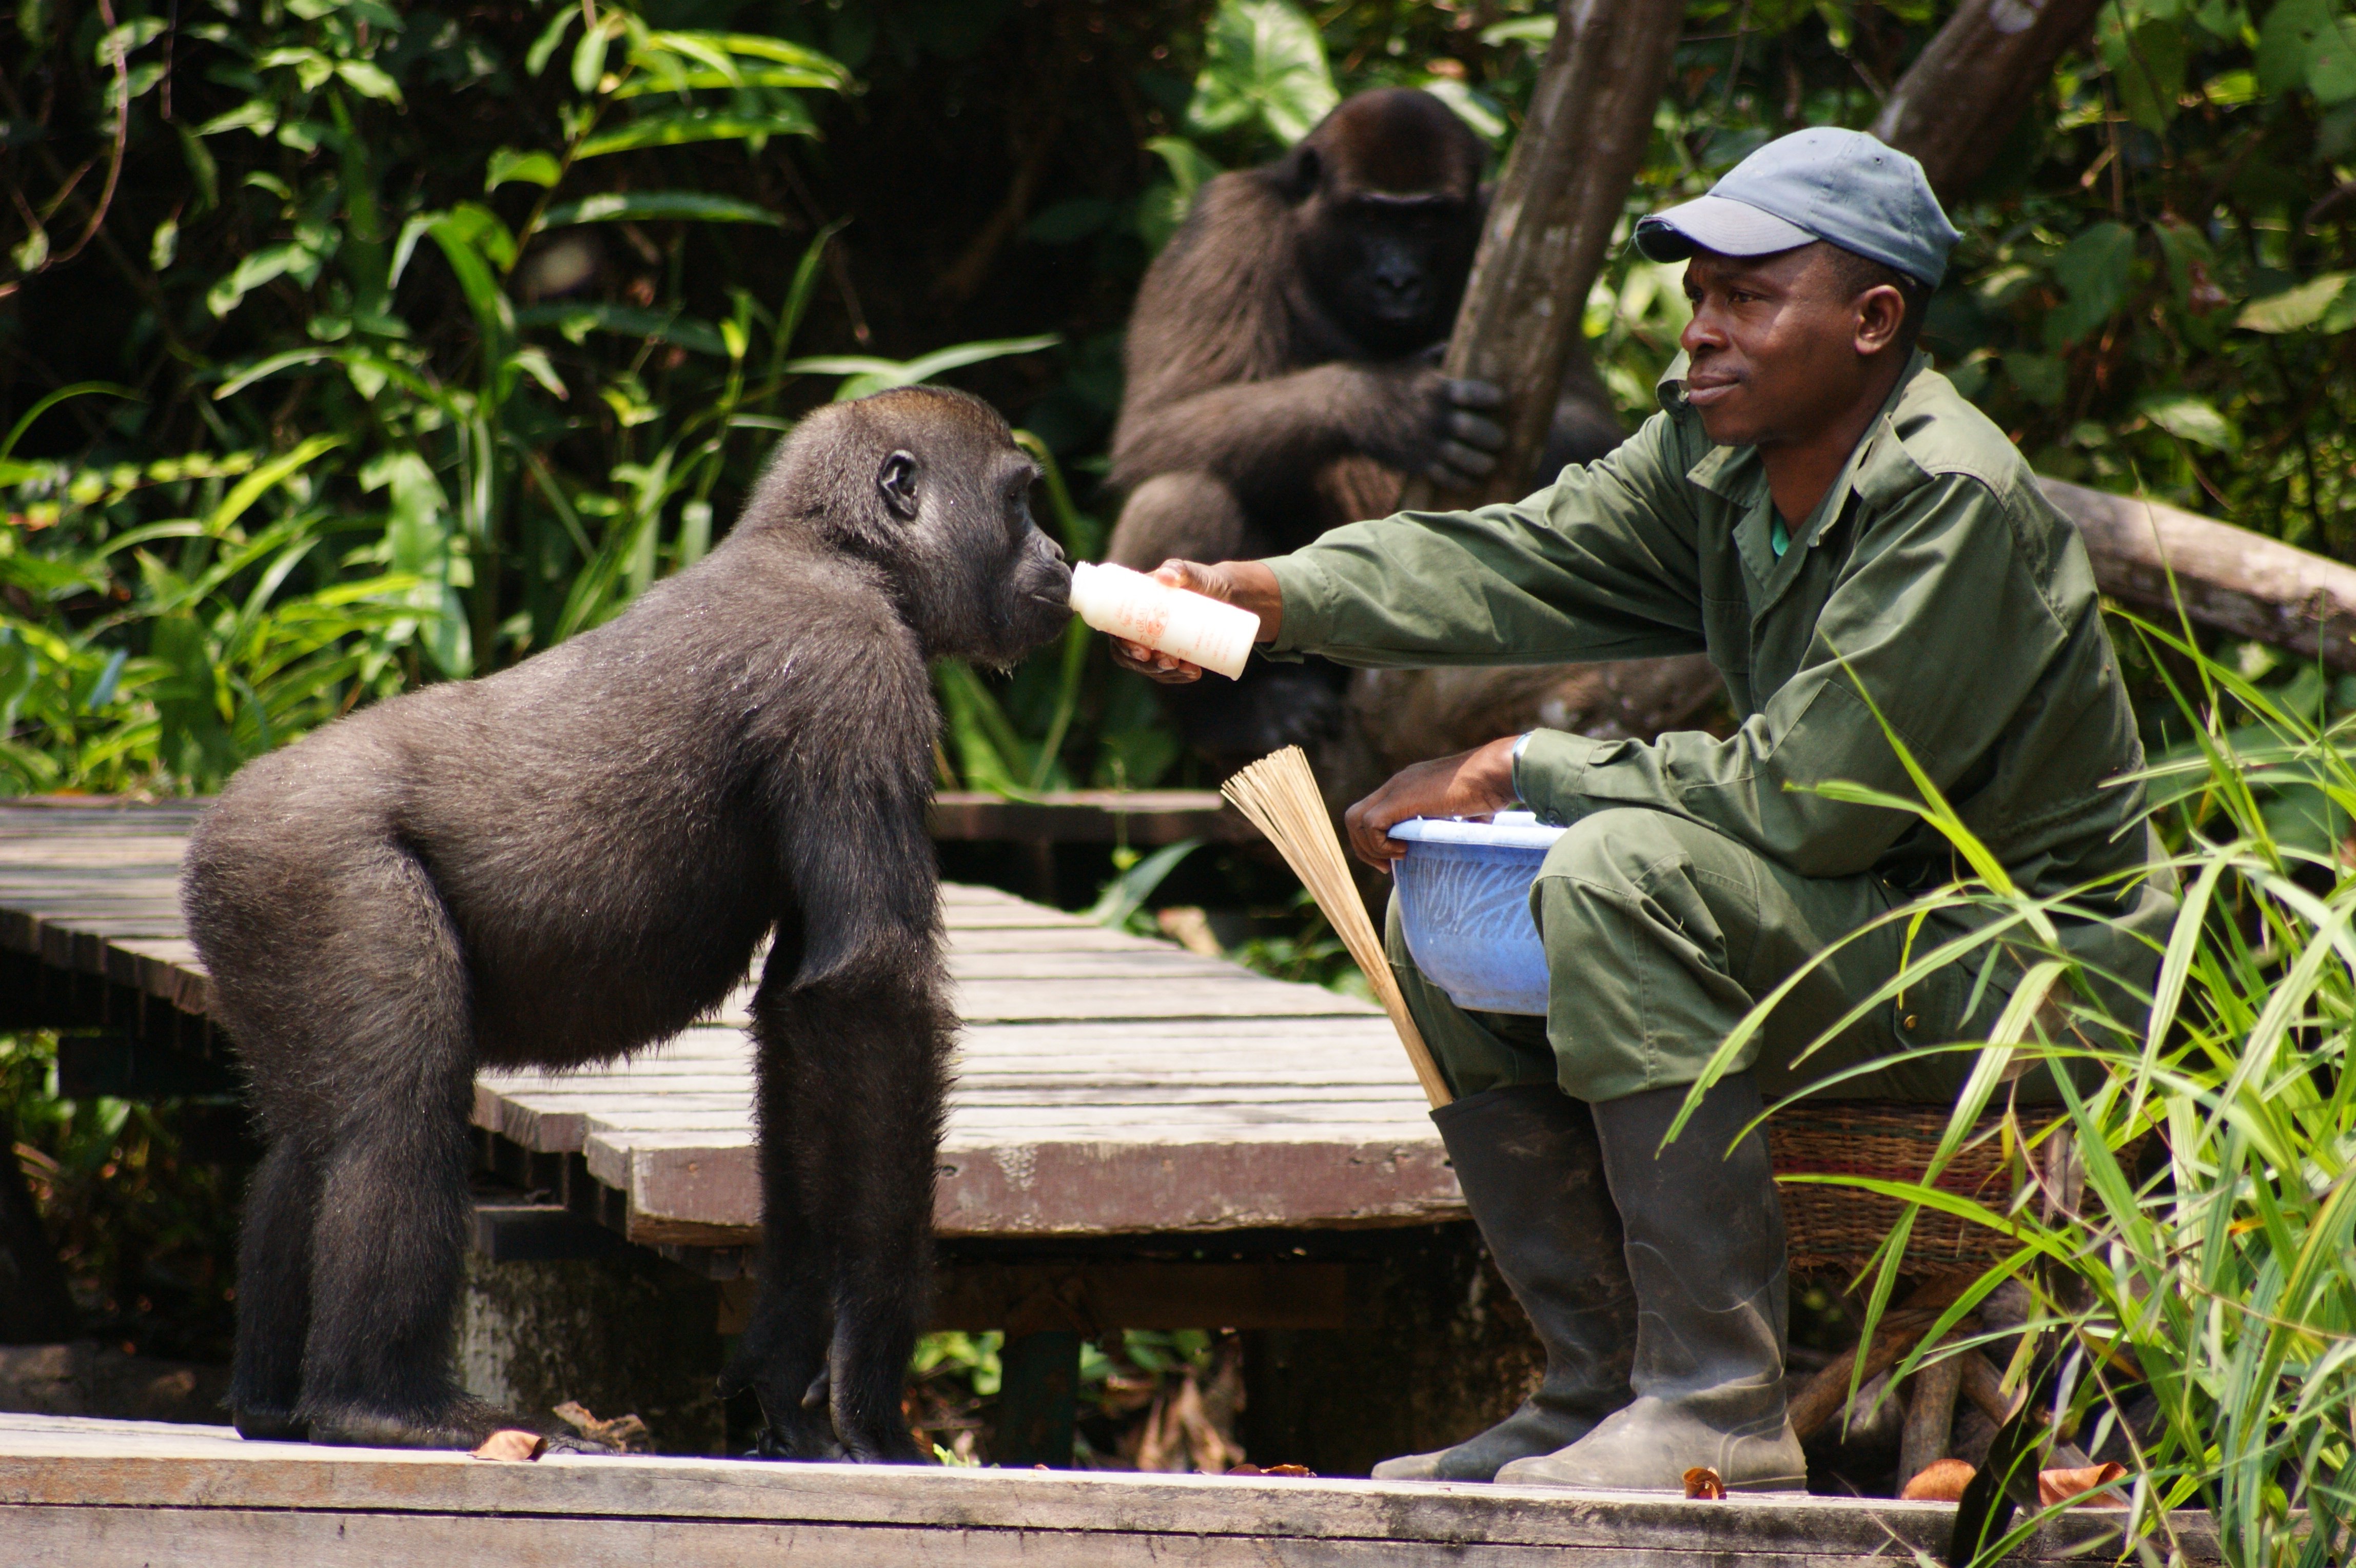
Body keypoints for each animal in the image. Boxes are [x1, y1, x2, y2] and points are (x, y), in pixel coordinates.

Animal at [188, 383, 1074, 1459]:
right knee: (391, 1114)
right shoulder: (853, 675)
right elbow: (869, 996)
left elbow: (807, 1030)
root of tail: (216, 824)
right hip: (322, 861)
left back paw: (275, 1402)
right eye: (1019, 500)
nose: (1060, 556)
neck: (831, 547)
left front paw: (781, 1377)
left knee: (310, 1135)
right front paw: (869, 1388)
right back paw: (382, 1402)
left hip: (257, 896)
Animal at [1112, 88, 1630, 767]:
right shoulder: (1224, 220)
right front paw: (1389, 404)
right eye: (1368, 217)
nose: (1397, 281)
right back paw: (1241, 713)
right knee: (1179, 490)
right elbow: (1157, 425)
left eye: (1427, 221)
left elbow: (1590, 423)